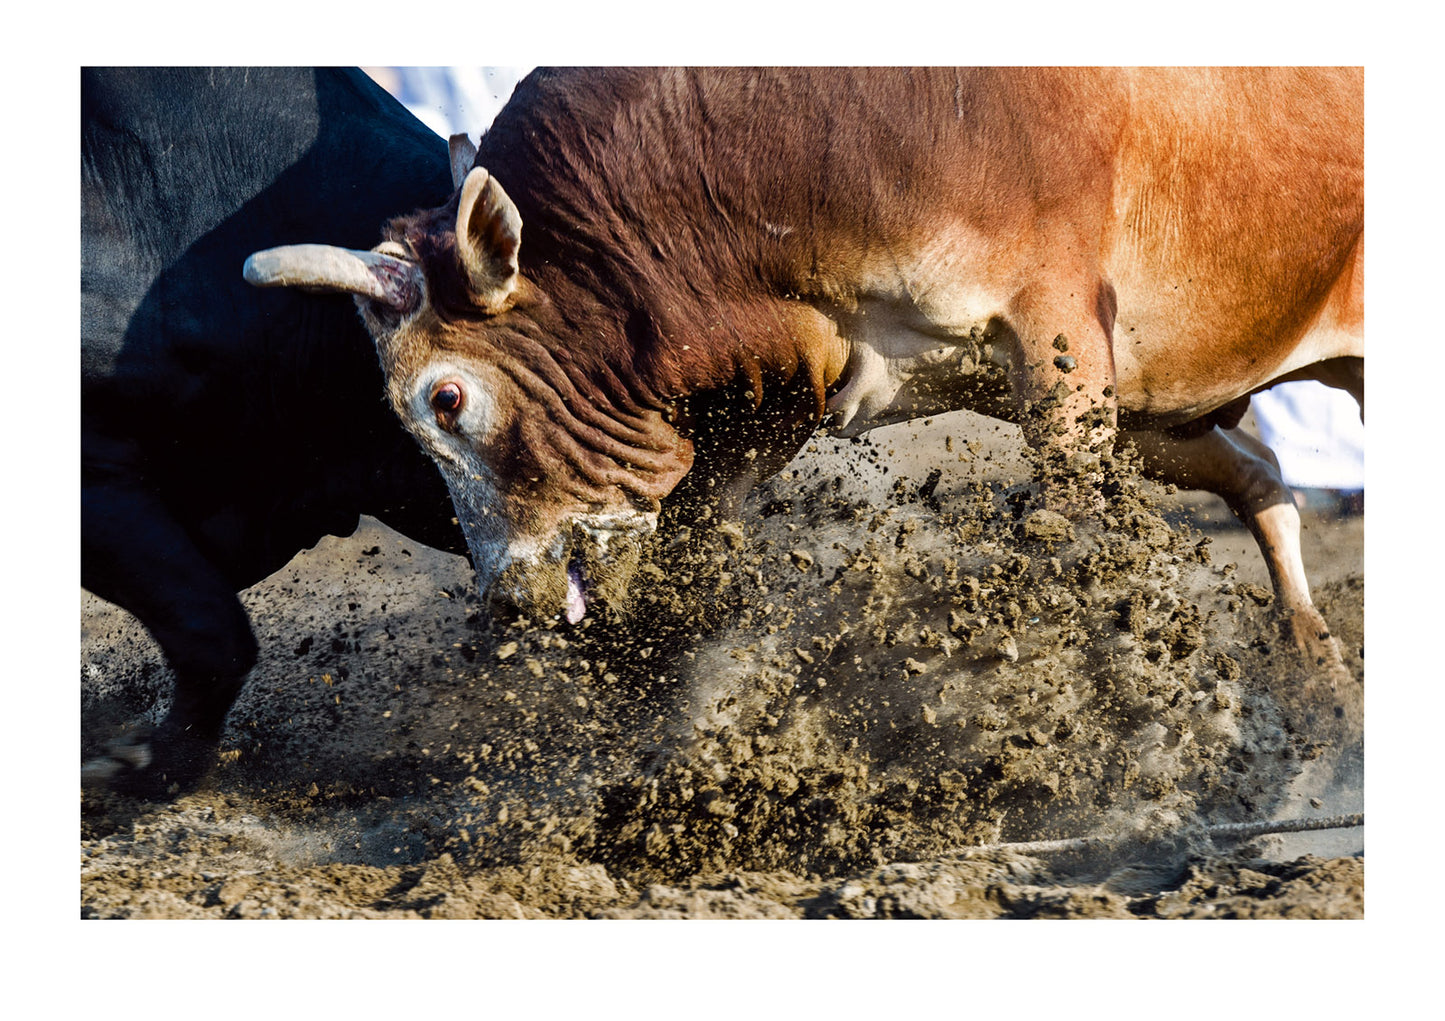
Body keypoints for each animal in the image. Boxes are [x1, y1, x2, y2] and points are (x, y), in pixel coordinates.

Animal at [246, 67, 1363, 689]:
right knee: (1261, 477)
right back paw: (1314, 674)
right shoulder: (789, 385)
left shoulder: (1058, 328)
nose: (508, 600)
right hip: (1162, 413)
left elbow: (1060, 528)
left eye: (445, 398)